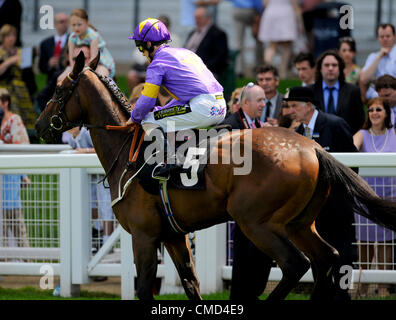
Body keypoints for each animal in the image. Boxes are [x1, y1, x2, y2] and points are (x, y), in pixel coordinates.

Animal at [35, 52, 396, 300]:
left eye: (59, 89)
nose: (39, 125)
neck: (129, 153)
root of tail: (312, 147)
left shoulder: (143, 235)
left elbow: (145, 287)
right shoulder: (173, 235)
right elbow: (190, 283)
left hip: (255, 221)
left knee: (295, 264)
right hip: (299, 222)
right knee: (327, 259)